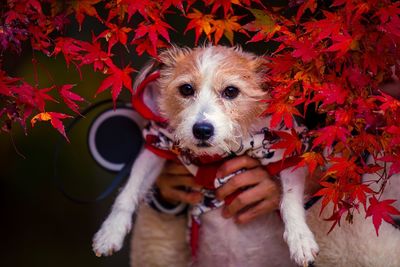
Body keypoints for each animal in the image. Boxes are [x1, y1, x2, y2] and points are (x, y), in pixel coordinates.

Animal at [93, 45, 318, 266]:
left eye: (231, 91)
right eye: (186, 89)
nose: (202, 130)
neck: (216, 155)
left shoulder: (286, 148)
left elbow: (290, 198)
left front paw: (300, 238)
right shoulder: (159, 143)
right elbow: (129, 191)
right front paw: (110, 231)